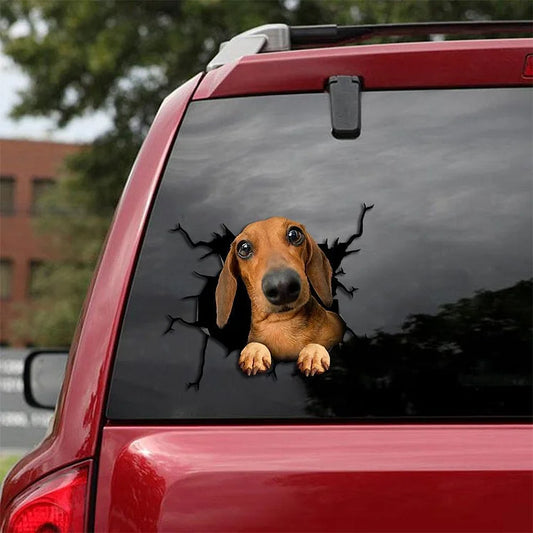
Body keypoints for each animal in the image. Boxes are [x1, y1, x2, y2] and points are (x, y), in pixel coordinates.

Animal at [216, 215, 344, 374]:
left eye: (294, 234)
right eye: (244, 248)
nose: (282, 285)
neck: (282, 323)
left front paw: (313, 354)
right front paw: (254, 352)